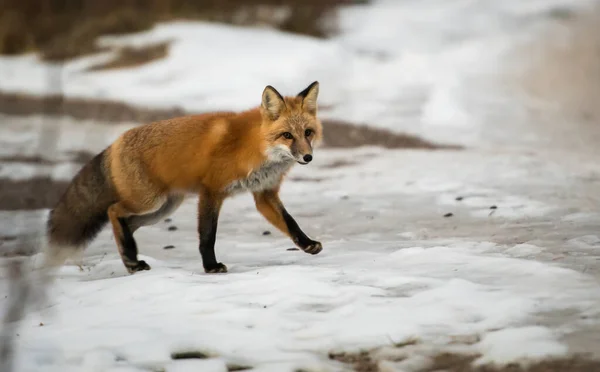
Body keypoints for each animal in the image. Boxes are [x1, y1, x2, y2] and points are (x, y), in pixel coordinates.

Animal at [45, 81, 324, 274]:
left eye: (308, 133)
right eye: (287, 135)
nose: (308, 157)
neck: (257, 148)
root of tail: (114, 143)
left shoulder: (264, 194)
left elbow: (290, 223)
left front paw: (307, 244)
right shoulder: (211, 191)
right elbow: (207, 235)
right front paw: (211, 267)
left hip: (162, 209)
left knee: (125, 224)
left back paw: (131, 259)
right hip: (150, 202)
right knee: (113, 211)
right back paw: (132, 260)